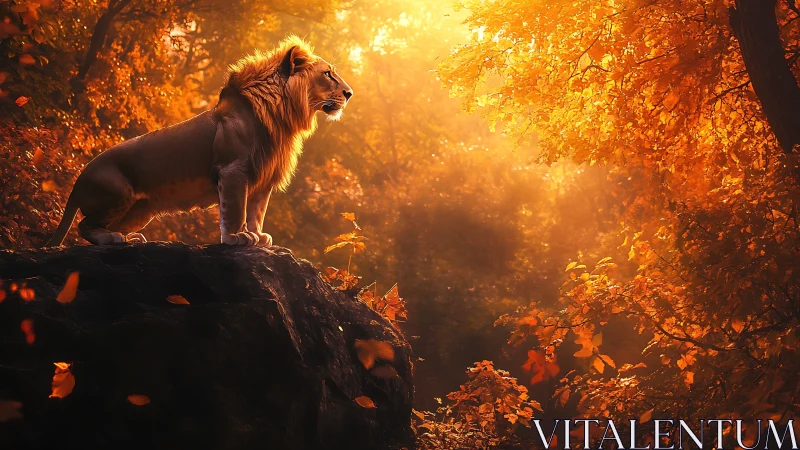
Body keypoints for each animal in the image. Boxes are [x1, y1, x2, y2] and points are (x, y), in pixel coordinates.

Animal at [45, 35, 353, 247]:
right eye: (328, 74)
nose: (350, 93)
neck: (283, 118)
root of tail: (77, 181)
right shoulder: (232, 170)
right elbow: (235, 209)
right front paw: (237, 238)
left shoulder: (263, 179)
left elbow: (256, 211)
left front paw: (257, 236)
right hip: (119, 193)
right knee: (84, 226)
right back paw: (114, 240)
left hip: (141, 211)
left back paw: (128, 238)